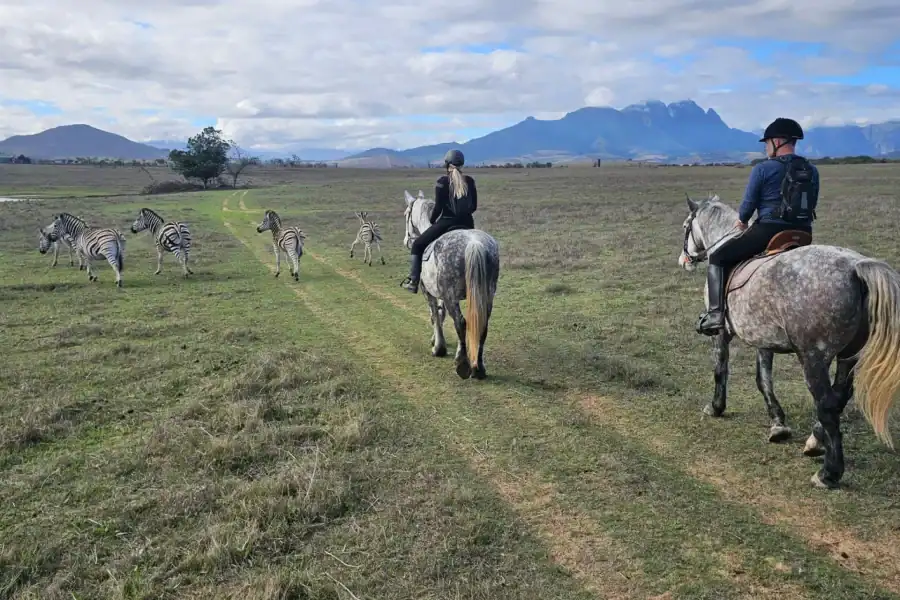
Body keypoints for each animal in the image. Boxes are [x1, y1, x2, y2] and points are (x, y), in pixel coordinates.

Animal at [403, 189, 500, 379]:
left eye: (406, 215)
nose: (406, 241)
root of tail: (474, 243)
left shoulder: (429, 292)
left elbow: (434, 315)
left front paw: (438, 347)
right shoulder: (441, 293)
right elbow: (441, 314)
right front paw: (436, 341)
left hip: (451, 296)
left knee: (461, 323)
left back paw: (462, 364)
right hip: (486, 295)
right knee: (482, 324)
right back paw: (479, 368)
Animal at [679, 193, 900, 489]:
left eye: (686, 227)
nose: (685, 260)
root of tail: (856, 268)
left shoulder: (722, 333)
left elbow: (720, 369)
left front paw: (716, 407)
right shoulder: (762, 337)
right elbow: (763, 379)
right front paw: (778, 423)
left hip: (812, 357)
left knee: (827, 404)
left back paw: (828, 473)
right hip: (849, 355)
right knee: (841, 395)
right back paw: (815, 441)